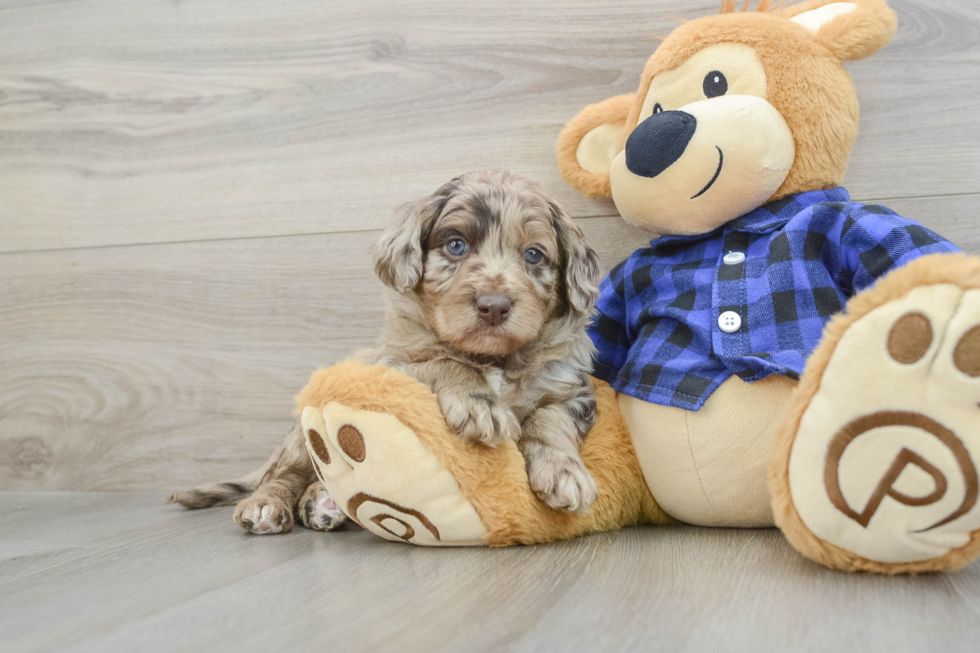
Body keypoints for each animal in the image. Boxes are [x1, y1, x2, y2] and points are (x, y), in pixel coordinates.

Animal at [171, 171, 600, 532]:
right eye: (456, 245)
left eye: (534, 255)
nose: (493, 306)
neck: (491, 357)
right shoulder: (392, 367)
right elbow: (443, 360)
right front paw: (480, 404)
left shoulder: (571, 389)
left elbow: (549, 421)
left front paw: (565, 472)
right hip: (300, 433)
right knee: (285, 471)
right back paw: (267, 504)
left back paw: (322, 502)